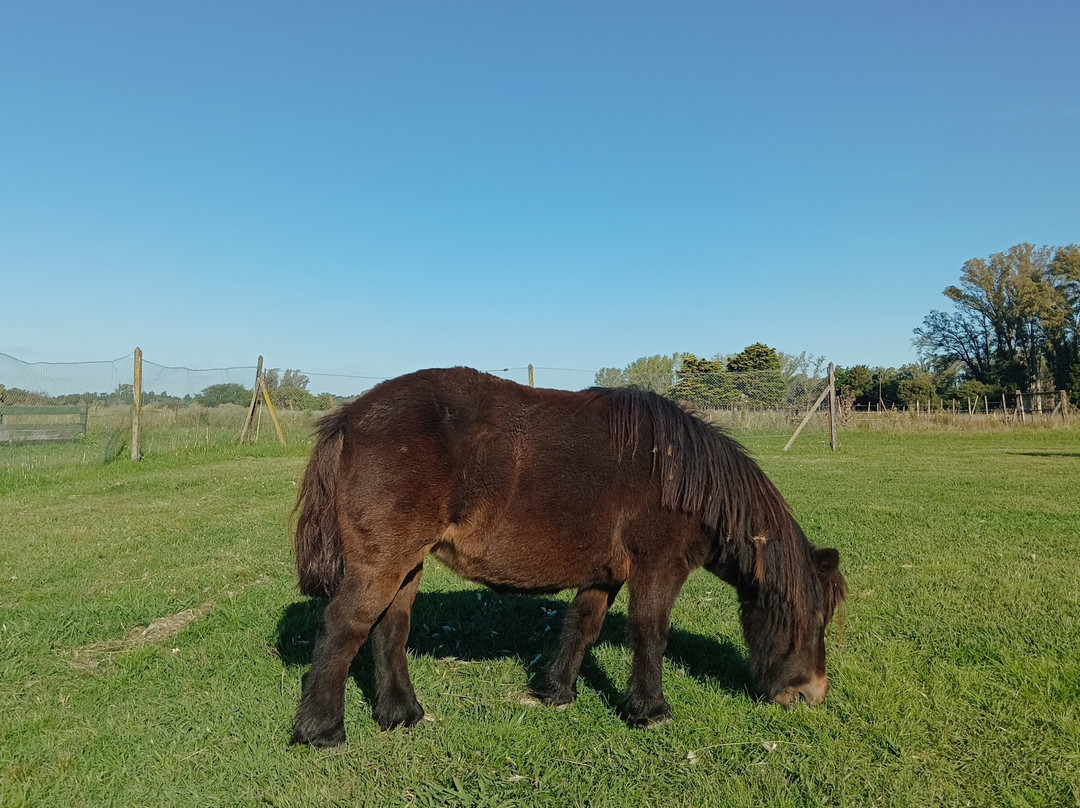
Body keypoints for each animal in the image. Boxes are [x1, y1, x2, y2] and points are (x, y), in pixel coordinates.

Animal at [290, 367, 845, 747]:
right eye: (811, 618)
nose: (812, 694)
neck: (682, 475)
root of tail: (350, 417)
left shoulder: (606, 575)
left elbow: (582, 626)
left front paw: (556, 691)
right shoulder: (658, 569)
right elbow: (650, 635)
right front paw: (650, 709)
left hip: (407, 564)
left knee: (390, 629)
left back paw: (401, 714)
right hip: (382, 563)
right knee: (344, 627)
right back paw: (321, 731)